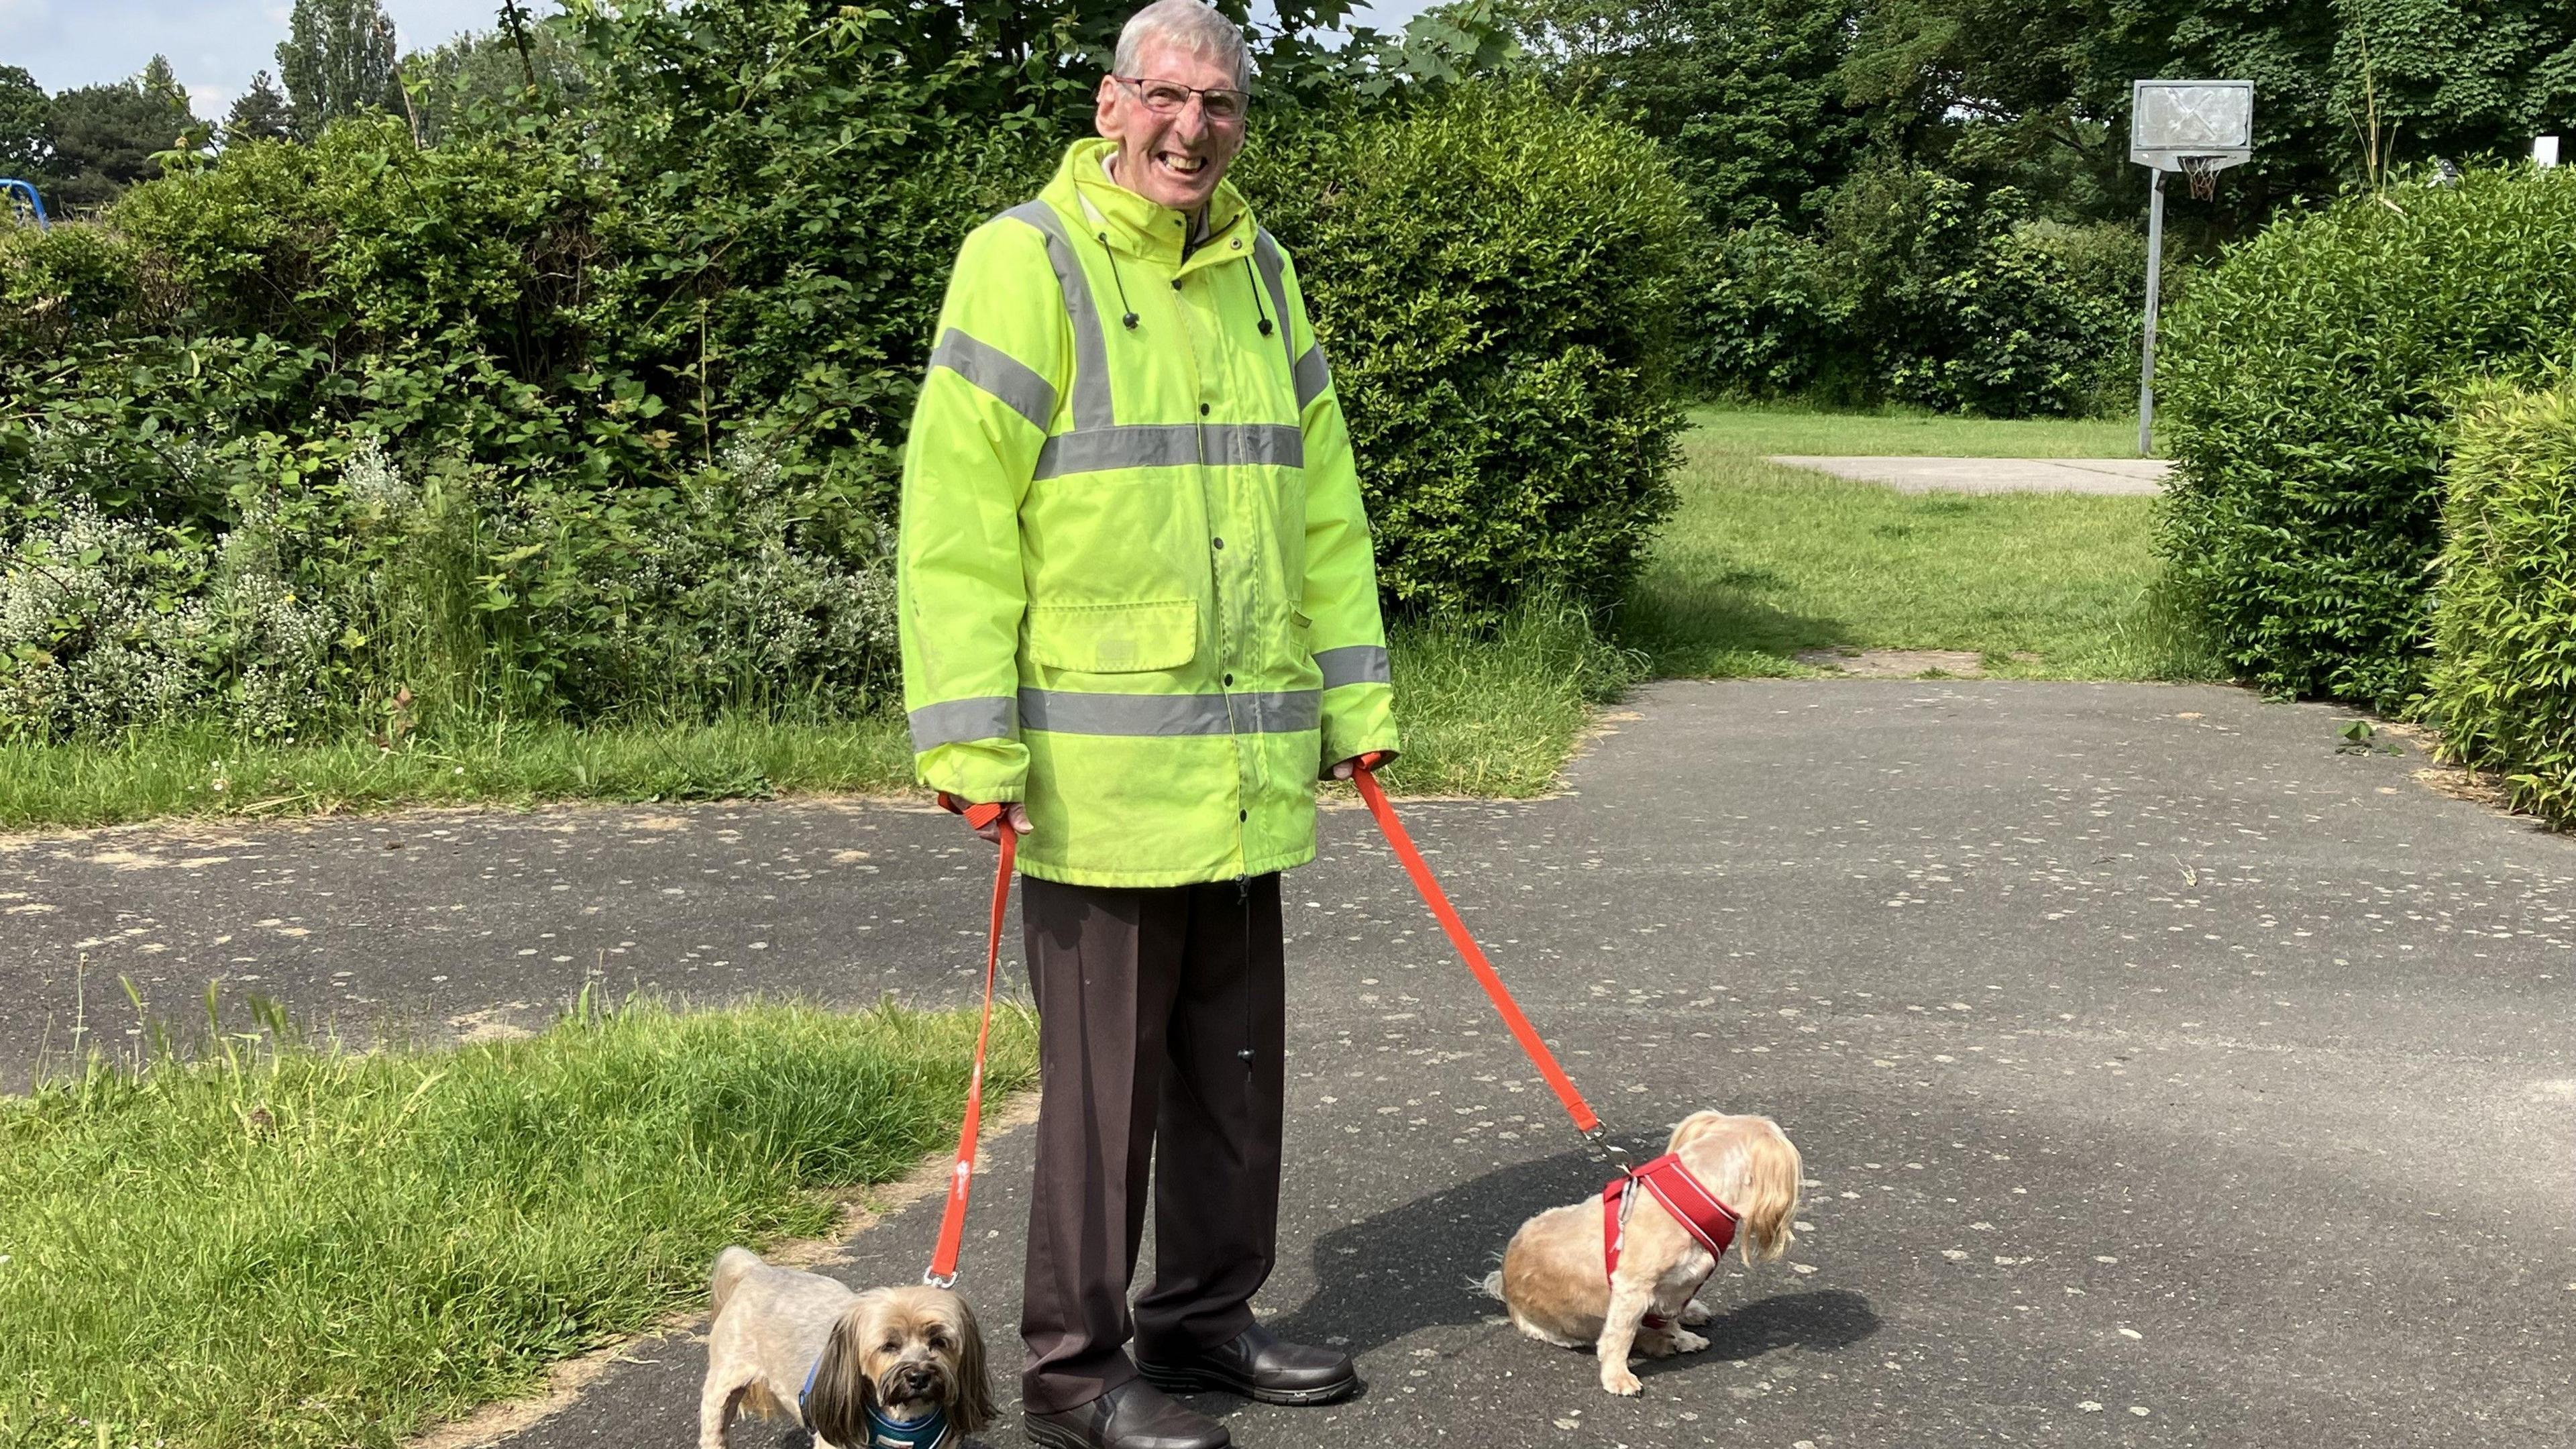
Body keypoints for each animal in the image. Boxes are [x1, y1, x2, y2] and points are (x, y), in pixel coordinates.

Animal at [1483, 1103, 1803, 1392]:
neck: (1692, 1201)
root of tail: (1505, 1284)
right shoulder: (1632, 1291)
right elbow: (1619, 1337)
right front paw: (1618, 1376)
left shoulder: (1677, 1290)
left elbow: (1669, 1320)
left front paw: (1682, 1336)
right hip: (1560, 1330)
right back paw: (1655, 1343)